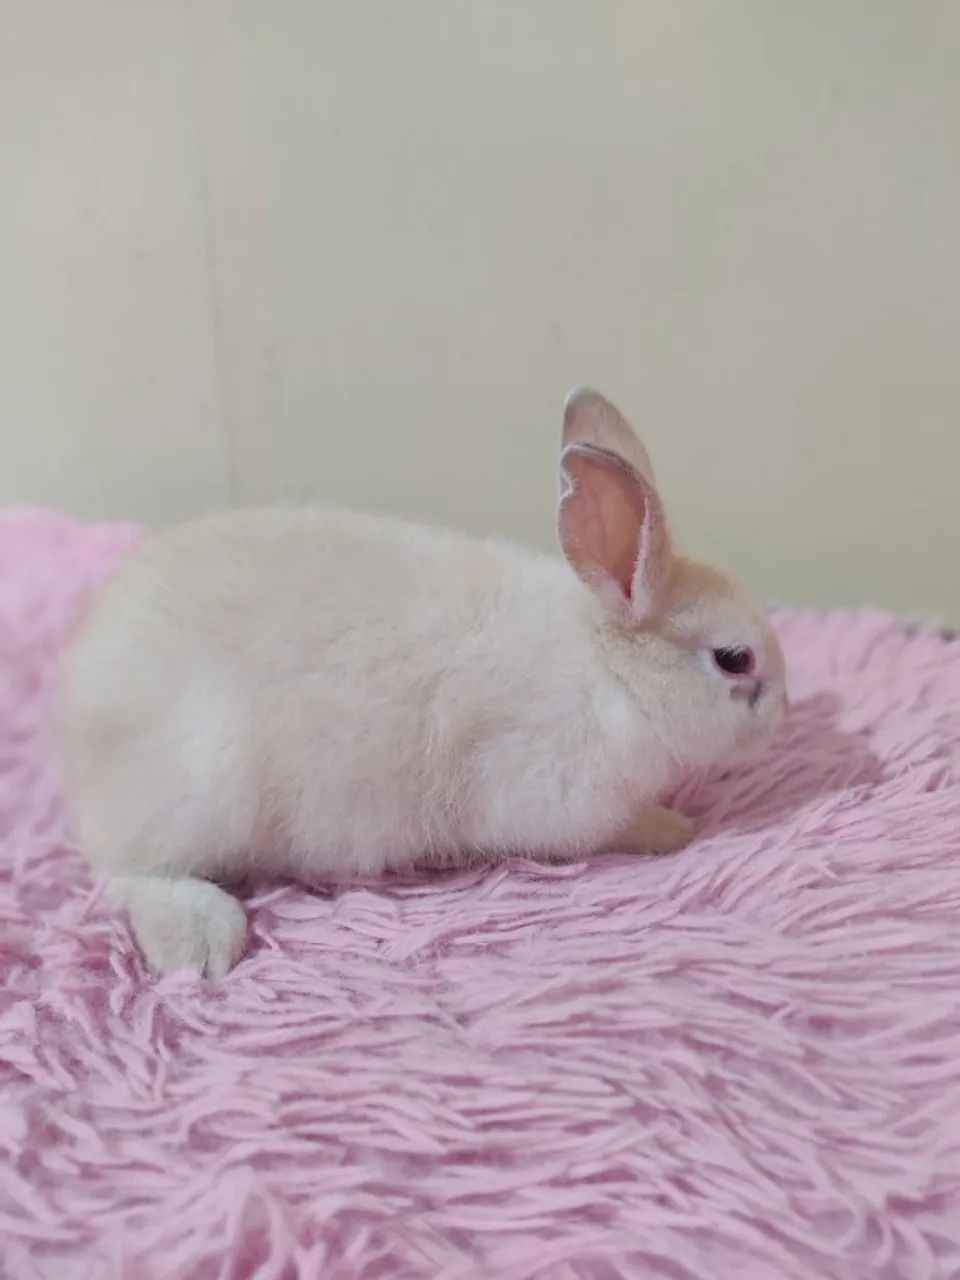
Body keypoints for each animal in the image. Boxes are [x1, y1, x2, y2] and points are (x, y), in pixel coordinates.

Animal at [59, 389, 787, 977]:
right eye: (734, 660)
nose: (784, 708)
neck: (611, 671)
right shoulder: (551, 798)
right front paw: (670, 829)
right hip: (201, 794)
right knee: (125, 871)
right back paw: (201, 941)